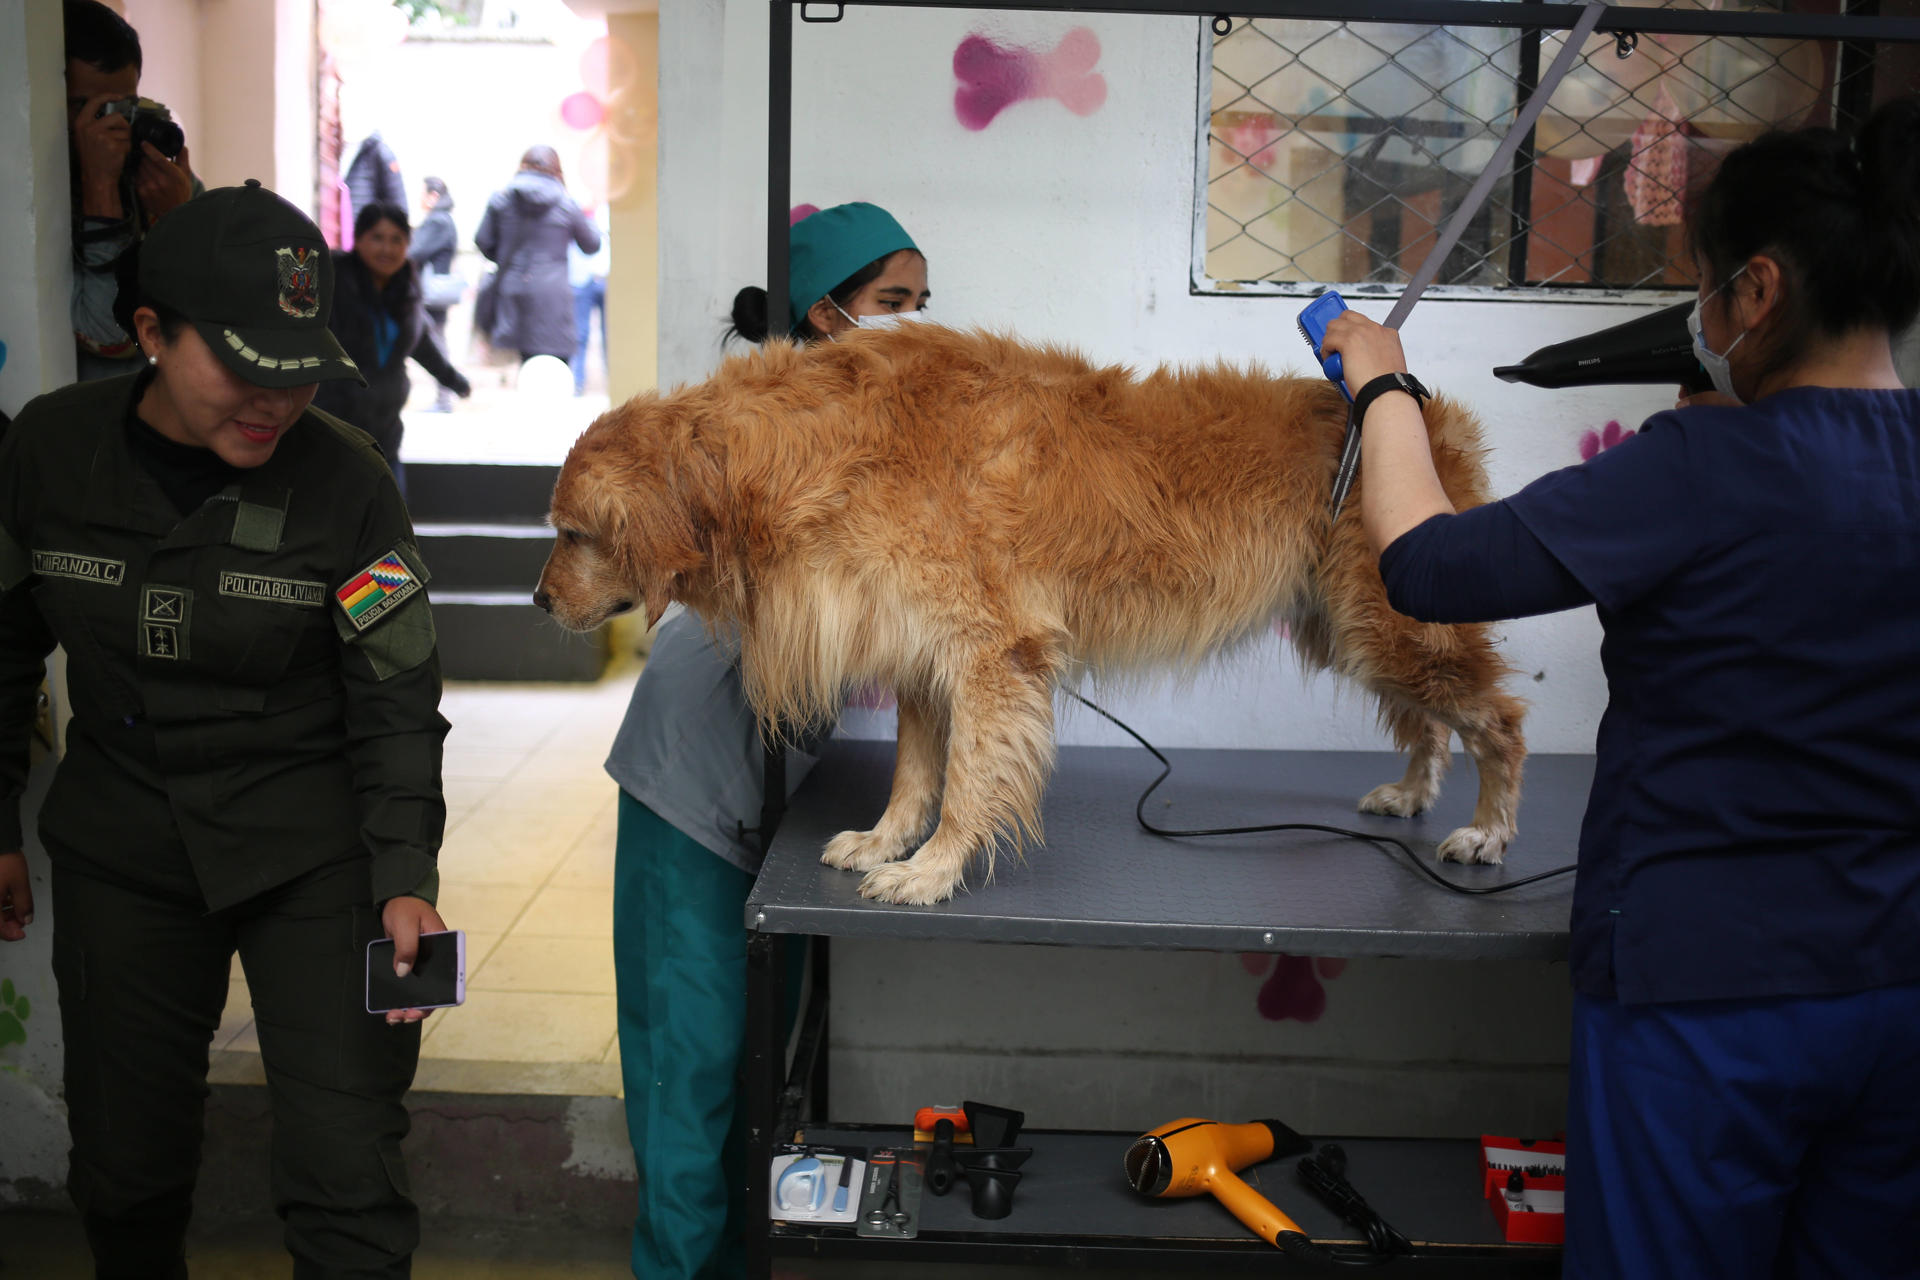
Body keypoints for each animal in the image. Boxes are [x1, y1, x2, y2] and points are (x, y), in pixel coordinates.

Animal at [533, 326, 1520, 905]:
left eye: (573, 533)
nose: (537, 600)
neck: (804, 452)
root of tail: (1425, 410)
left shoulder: (991, 656)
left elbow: (970, 783)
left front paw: (932, 871)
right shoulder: (922, 653)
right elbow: (915, 776)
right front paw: (888, 843)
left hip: (1389, 627)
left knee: (1499, 719)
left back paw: (1487, 830)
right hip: (1356, 630)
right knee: (1434, 721)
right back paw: (1411, 792)